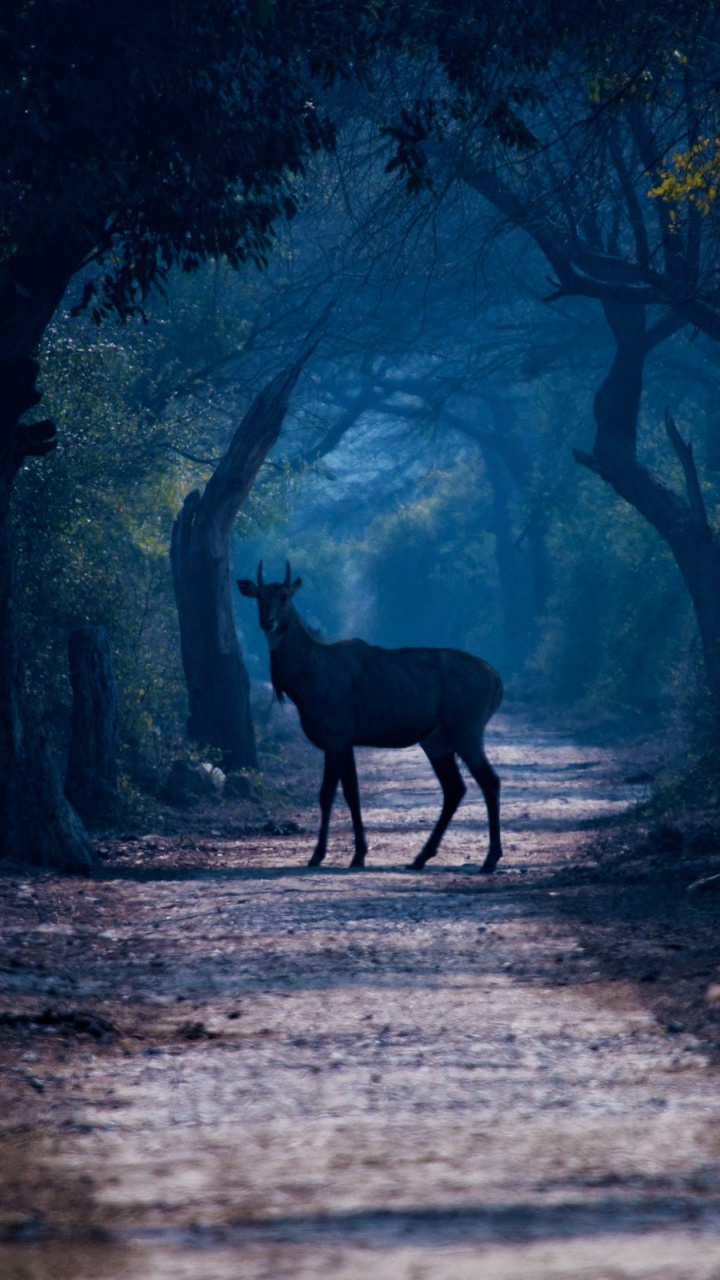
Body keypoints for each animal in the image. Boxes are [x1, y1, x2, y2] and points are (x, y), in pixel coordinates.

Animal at [237, 562, 503, 873]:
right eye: (260, 596)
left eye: (285, 597)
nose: (268, 621)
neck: (307, 679)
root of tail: (495, 679)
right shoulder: (346, 742)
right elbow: (352, 794)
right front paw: (359, 855)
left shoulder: (336, 737)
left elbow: (327, 794)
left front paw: (318, 855)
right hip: (436, 740)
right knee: (454, 788)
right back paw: (420, 857)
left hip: (467, 730)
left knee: (489, 781)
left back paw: (489, 859)